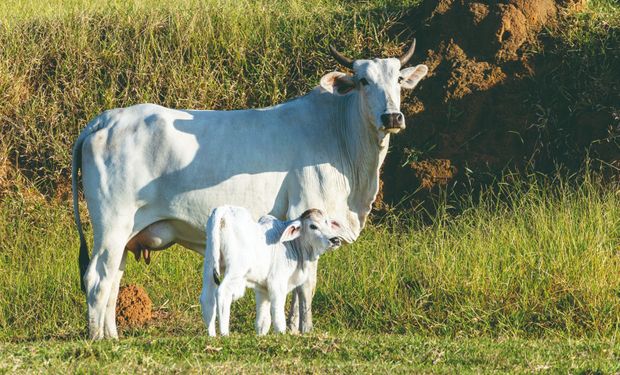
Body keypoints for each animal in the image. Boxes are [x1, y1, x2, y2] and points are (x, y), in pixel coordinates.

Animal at [201, 207, 342, 336]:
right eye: (313, 226)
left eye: (328, 223)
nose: (335, 240)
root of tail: (223, 210)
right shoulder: (277, 283)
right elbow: (278, 316)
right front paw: (281, 335)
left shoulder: (262, 288)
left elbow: (263, 321)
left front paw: (260, 336)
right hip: (236, 268)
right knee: (223, 293)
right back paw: (224, 334)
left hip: (209, 264)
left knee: (207, 298)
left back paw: (212, 336)